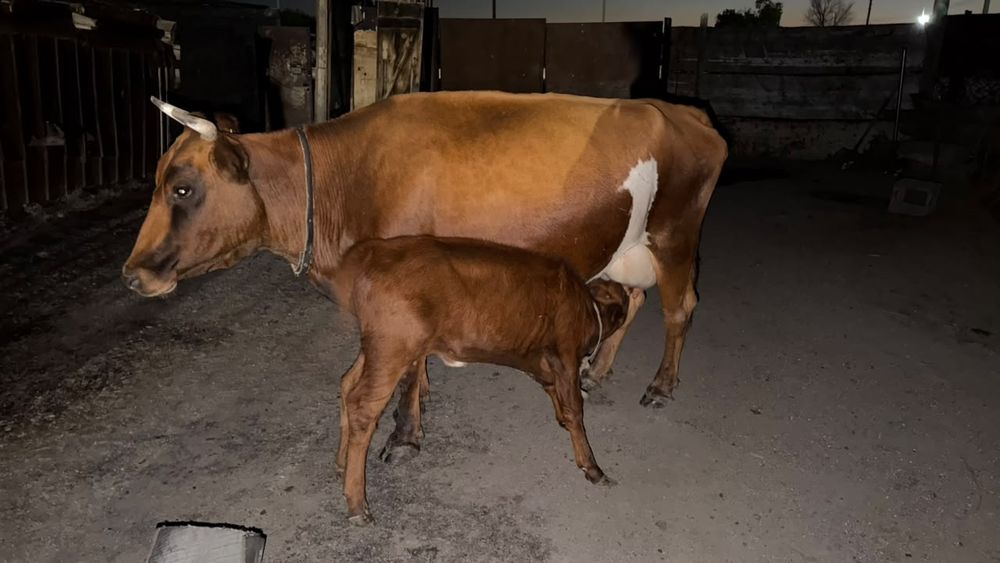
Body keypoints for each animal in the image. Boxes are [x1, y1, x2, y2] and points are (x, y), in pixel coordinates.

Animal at [122, 90, 727, 415]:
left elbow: (408, 367)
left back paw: (661, 386)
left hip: (675, 234)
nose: (131, 274)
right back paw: (598, 371)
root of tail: (685, 113)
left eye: (182, 189)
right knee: (633, 299)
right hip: (627, 242)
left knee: (680, 307)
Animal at [329, 235, 633, 525]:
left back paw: (342, 464)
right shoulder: (566, 355)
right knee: (363, 407)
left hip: (378, 348)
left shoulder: (545, 365)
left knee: (347, 384)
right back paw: (357, 504)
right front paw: (593, 468)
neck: (588, 306)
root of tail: (374, 252)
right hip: (393, 350)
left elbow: (559, 400)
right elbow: (575, 411)